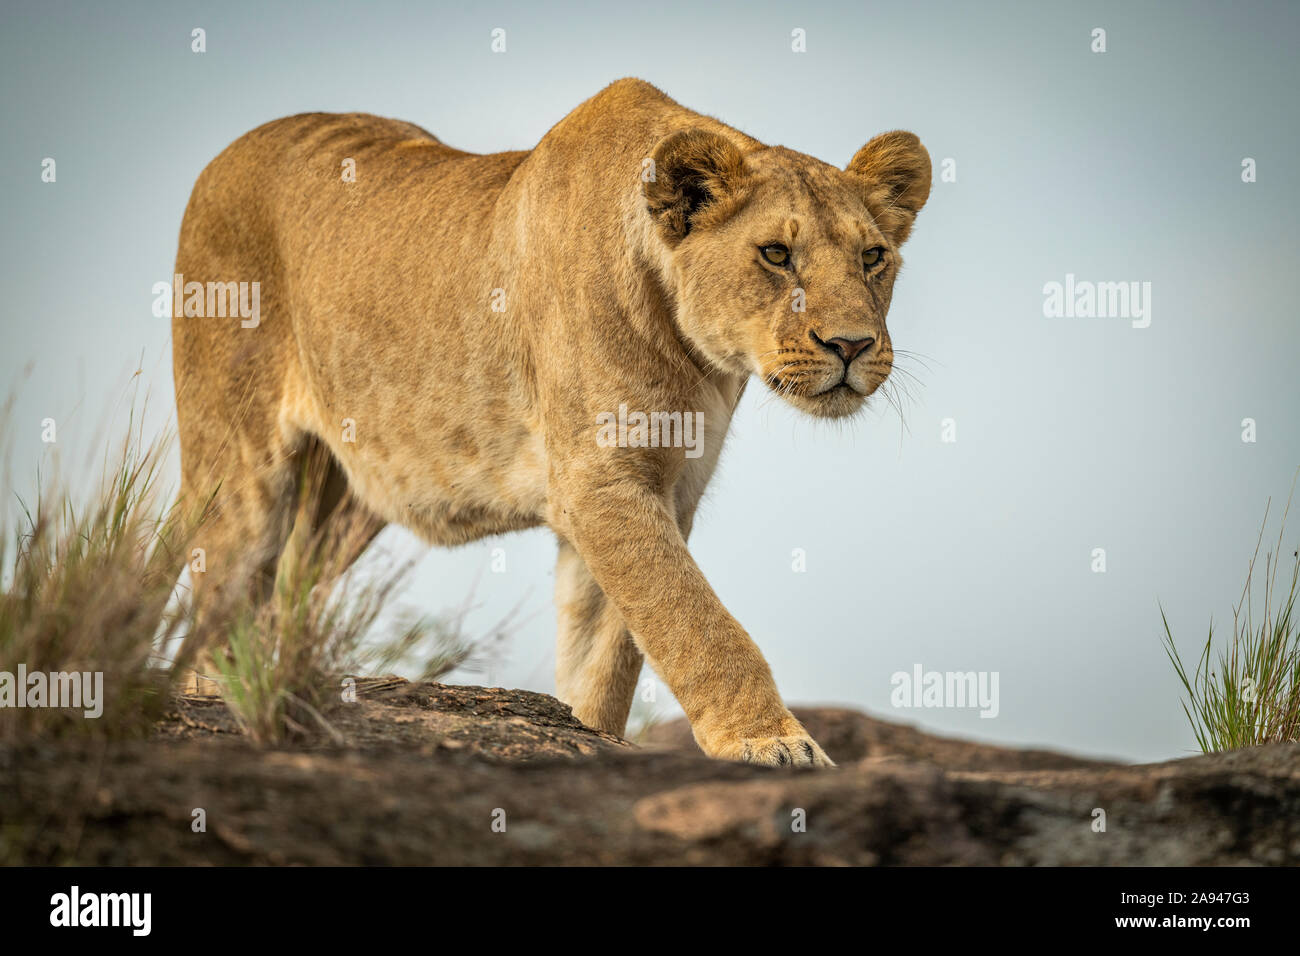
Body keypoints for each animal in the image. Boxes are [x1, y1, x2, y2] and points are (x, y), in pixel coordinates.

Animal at [171, 78, 930, 766]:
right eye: (776, 254)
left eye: (872, 257)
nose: (852, 345)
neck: (694, 352)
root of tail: (220, 159)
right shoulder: (601, 482)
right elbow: (695, 622)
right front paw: (770, 743)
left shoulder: (666, 488)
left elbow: (611, 653)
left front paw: (592, 735)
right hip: (239, 474)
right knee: (218, 609)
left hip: (342, 506)